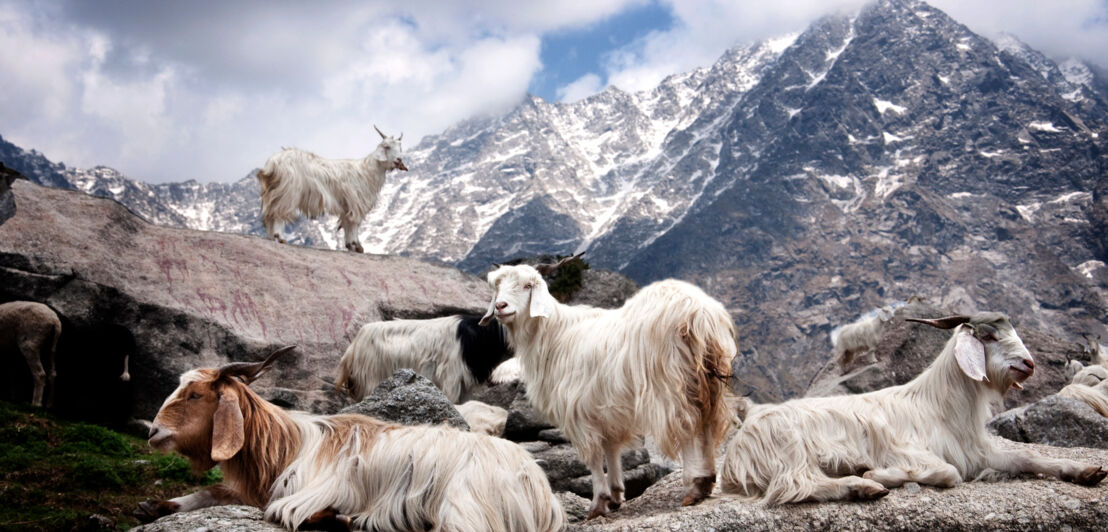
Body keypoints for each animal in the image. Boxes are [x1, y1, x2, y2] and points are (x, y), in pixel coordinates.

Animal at [140, 348, 562, 529]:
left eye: (196, 395)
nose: (154, 432)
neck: (288, 445)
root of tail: (538, 487)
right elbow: (213, 493)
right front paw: (155, 506)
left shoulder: (306, 492)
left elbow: (285, 511)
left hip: (465, 510)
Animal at [257, 125, 409, 252]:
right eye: (387, 146)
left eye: (400, 148)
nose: (399, 160)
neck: (367, 171)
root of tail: (272, 163)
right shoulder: (356, 202)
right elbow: (354, 223)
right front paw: (356, 245)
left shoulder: (347, 205)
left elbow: (347, 223)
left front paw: (351, 245)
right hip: (287, 192)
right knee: (278, 213)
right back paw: (280, 237)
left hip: (273, 191)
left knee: (269, 215)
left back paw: (271, 237)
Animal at [483, 257, 735, 518]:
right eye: (497, 286)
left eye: (527, 286)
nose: (501, 306)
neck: (553, 335)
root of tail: (698, 312)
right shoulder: (606, 409)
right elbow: (611, 448)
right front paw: (615, 495)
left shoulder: (577, 410)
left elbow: (593, 457)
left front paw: (598, 503)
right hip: (707, 380)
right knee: (708, 422)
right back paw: (707, 480)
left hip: (670, 382)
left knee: (688, 425)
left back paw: (694, 485)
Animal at [717, 314, 1108, 505]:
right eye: (988, 336)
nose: (1028, 364)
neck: (940, 404)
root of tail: (738, 452)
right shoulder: (908, 448)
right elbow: (949, 473)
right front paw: (879, 474)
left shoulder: (976, 451)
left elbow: (1027, 458)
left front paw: (1086, 471)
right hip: (790, 446)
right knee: (795, 486)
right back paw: (863, 486)